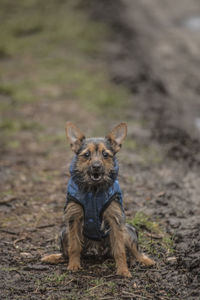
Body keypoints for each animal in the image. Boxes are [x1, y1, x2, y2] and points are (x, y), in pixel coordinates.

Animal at [41, 122, 155, 276]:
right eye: (86, 154)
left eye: (105, 154)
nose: (96, 166)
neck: (94, 191)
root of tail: (97, 250)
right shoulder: (74, 218)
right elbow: (74, 247)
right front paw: (73, 265)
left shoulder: (115, 219)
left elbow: (119, 250)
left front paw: (123, 270)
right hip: (64, 233)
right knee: (66, 252)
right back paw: (54, 257)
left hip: (127, 231)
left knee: (134, 251)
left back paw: (145, 260)